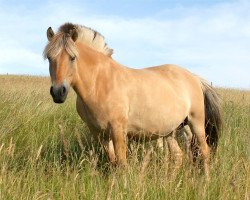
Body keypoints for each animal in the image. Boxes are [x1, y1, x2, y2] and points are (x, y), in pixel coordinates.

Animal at [44, 22, 222, 178]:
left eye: (73, 57)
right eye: (49, 58)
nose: (58, 92)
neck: (100, 82)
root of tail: (194, 77)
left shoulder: (118, 130)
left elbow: (122, 163)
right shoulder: (98, 134)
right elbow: (112, 161)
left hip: (196, 123)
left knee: (204, 152)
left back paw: (205, 181)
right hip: (172, 130)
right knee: (179, 156)